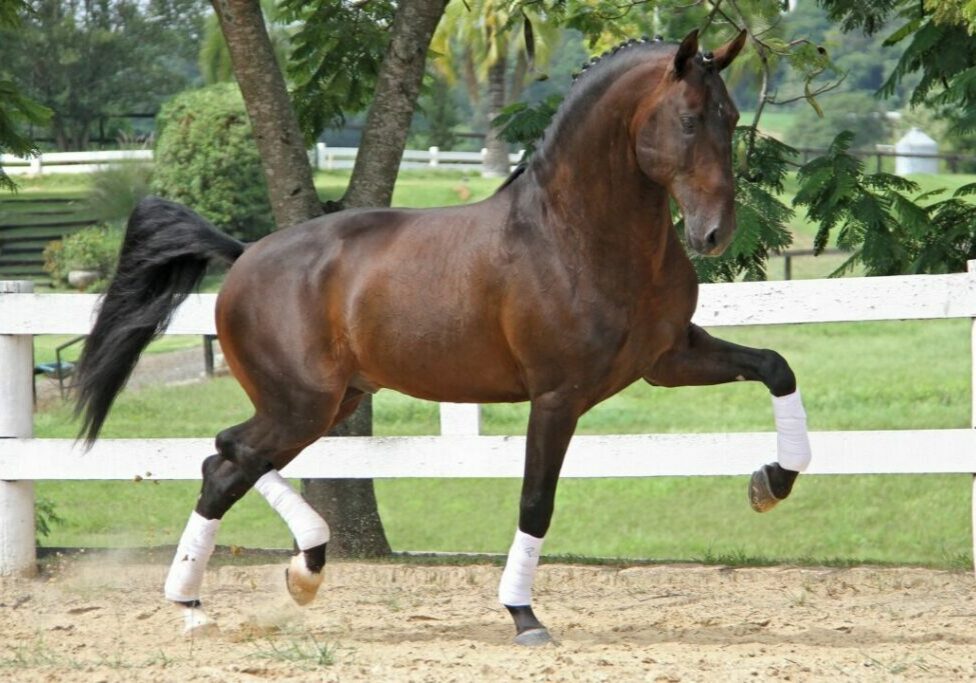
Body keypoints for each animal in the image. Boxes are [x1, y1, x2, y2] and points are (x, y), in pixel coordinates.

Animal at [72, 29, 811, 645]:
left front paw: (771, 482)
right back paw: (221, 595)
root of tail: (244, 253)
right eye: (688, 118)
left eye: (732, 118)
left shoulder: (666, 358)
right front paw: (523, 615)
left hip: (331, 402)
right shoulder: (558, 396)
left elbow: (777, 366)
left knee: (225, 460)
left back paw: (269, 583)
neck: (576, 234)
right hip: (302, 404)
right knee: (230, 458)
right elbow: (536, 501)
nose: (714, 234)